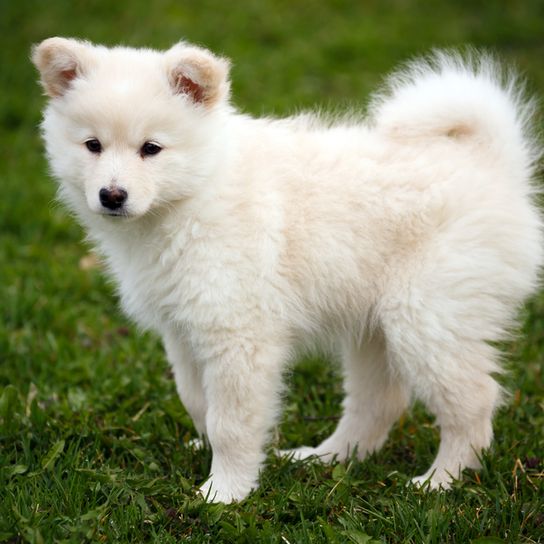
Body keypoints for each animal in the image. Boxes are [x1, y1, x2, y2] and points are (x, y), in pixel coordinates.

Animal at [31, 38, 540, 504]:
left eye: (151, 149)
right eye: (92, 145)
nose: (111, 196)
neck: (194, 196)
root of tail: (493, 166)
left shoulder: (237, 334)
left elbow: (232, 421)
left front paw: (224, 492)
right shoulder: (182, 329)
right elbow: (196, 400)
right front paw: (205, 448)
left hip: (428, 318)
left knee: (472, 403)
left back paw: (441, 481)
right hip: (375, 326)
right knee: (377, 403)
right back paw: (324, 458)